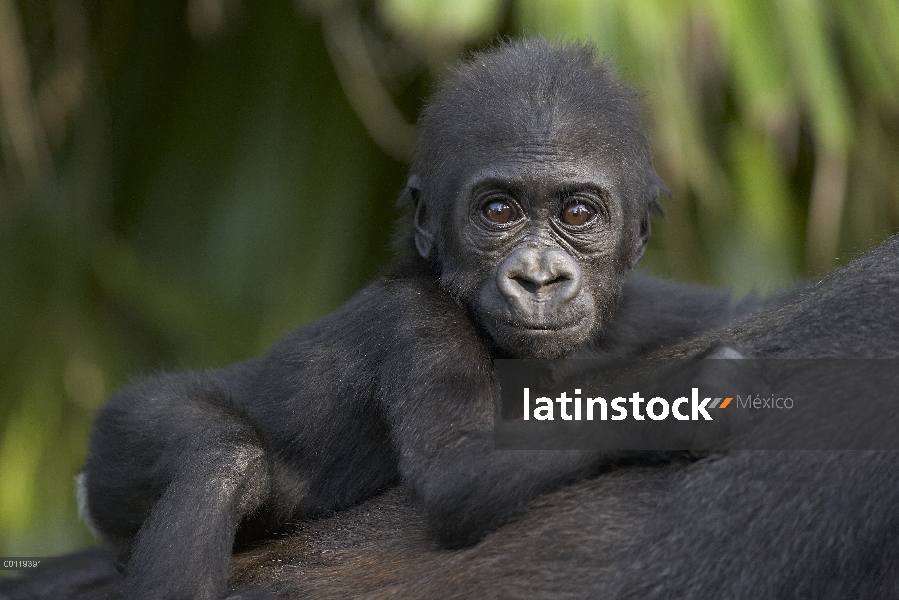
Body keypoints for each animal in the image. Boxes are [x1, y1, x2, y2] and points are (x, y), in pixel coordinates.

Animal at [77, 42, 752, 600]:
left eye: (578, 213)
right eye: (499, 211)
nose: (537, 277)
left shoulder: (638, 310)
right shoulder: (418, 322)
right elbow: (459, 471)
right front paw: (681, 400)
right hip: (120, 432)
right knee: (220, 457)